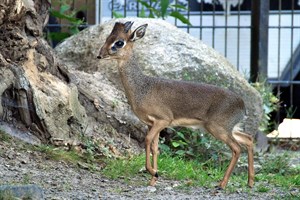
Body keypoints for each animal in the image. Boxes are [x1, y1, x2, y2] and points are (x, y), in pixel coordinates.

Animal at [97, 21, 254, 189]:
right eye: (107, 37)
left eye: (119, 42)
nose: (100, 54)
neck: (142, 88)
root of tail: (243, 106)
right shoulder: (151, 123)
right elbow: (155, 148)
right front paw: (154, 178)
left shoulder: (164, 119)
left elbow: (147, 141)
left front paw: (153, 173)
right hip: (228, 128)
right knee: (248, 139)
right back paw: (250, 182)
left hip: (218, 128)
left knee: (237, 148)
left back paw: (222, 184)